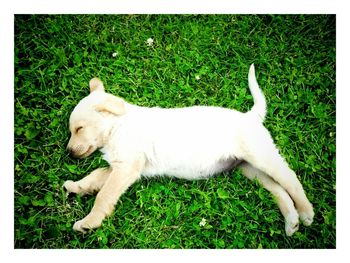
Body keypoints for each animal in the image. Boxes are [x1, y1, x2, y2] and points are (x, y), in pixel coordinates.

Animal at [63, 64, 314, 237]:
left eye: (79, 128)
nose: (68, 153)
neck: (117, 127)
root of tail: (250, 116)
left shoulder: (127, 168)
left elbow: (104, 195)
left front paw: (89, 222)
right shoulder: (121, 167)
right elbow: (96, 176)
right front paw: (77, 186)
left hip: (261, 156)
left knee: (291, 180)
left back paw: (305, 212)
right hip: (249, 169)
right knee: (278, 188)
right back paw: (291, 221)